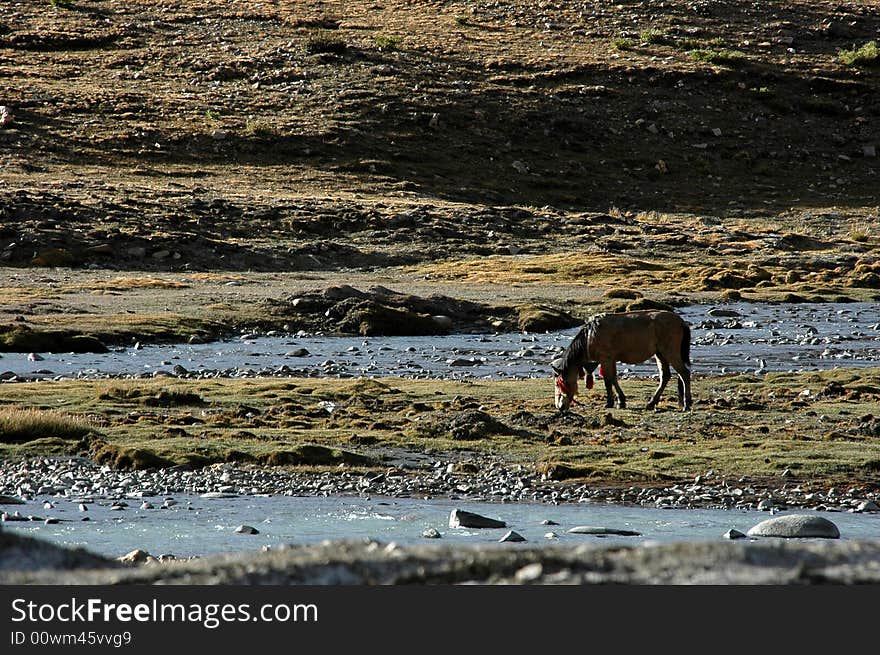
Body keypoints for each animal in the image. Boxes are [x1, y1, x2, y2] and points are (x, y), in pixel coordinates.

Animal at [552, 312, 696, 410]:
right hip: (660, 354)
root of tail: (682, 322)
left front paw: (610, 403)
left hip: (670, 352)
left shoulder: (606, 358)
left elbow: (608, 380)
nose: (560, 407)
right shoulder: (611, 359)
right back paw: (651, 403)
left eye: (559, 383)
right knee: (665, 376)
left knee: (684, 373)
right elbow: (613, 379)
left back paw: (686, 404)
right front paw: (621, 401)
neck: (589, 337)